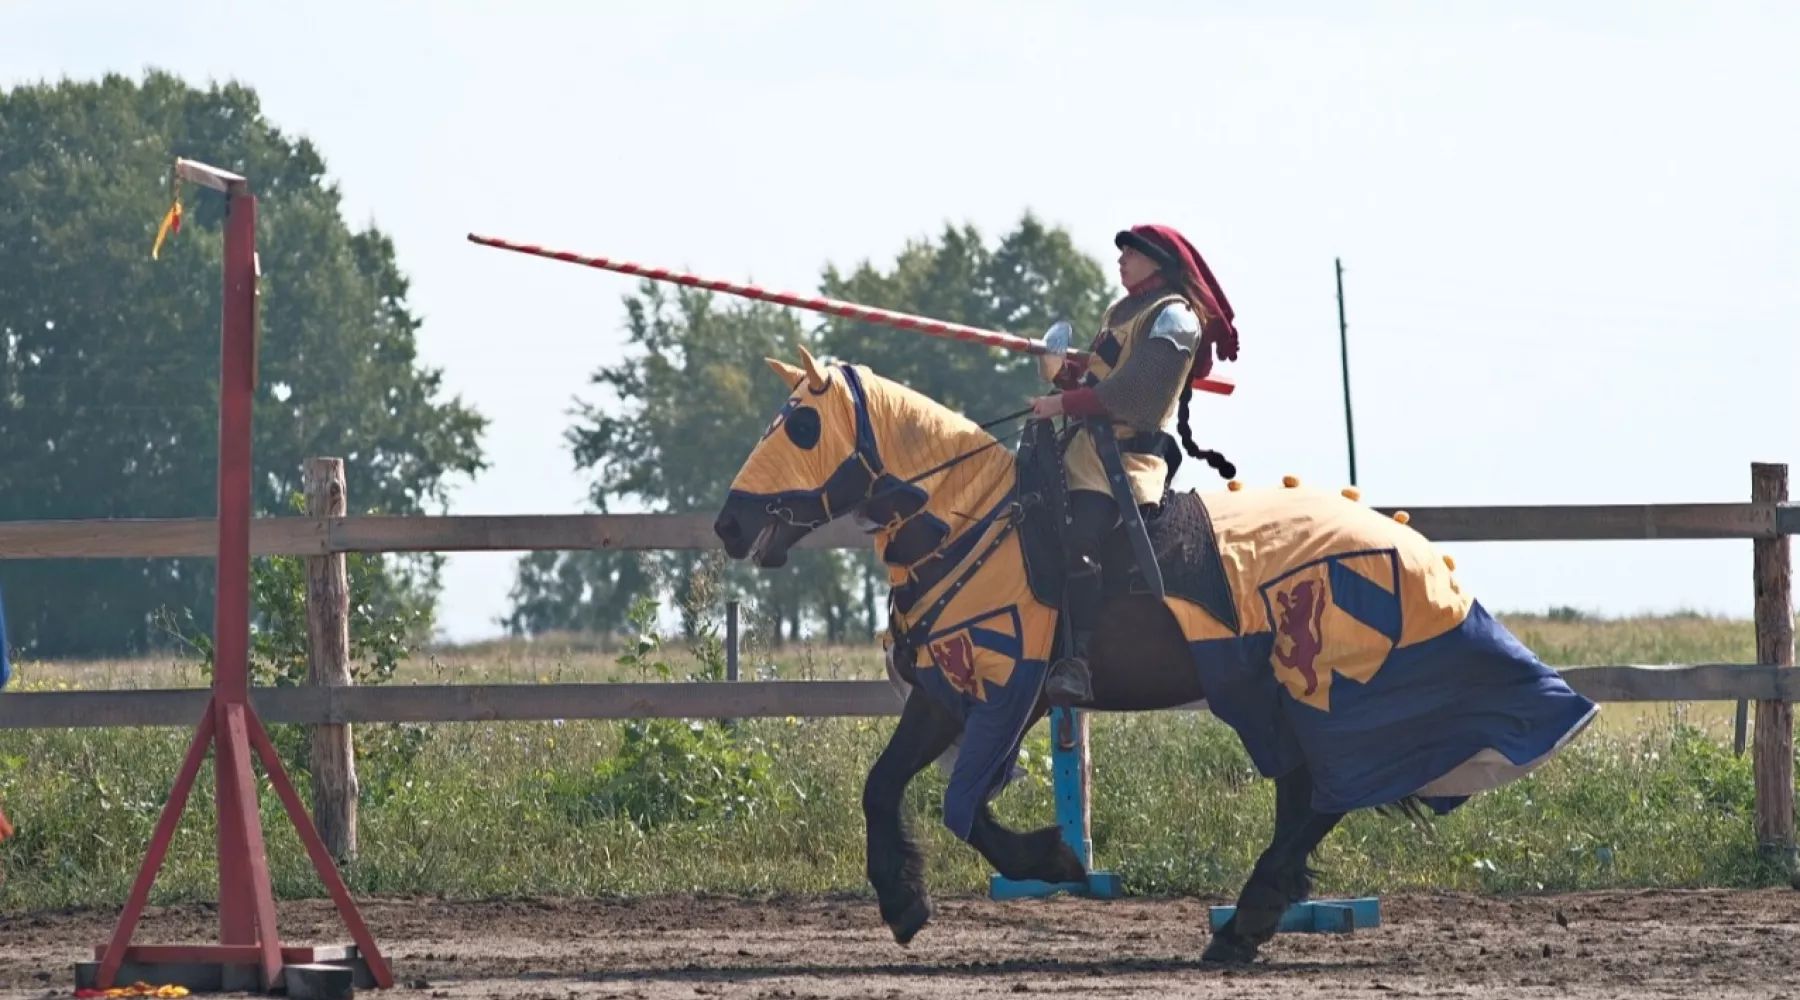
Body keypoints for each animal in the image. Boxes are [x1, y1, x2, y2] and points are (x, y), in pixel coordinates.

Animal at [709, 347, 1598, 964]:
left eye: (800, 426)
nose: (727, 524)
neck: (968, 520)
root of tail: (1411, 544)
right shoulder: (946, 693)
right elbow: (885, 785)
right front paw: (902, 901)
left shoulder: (1010, 691)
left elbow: (965, 805)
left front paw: (1051, 857)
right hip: (1267, 691)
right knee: (1309, 794)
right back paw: (1251, 919)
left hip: (1308, 687)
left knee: (1319, 795)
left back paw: (1247, 919)